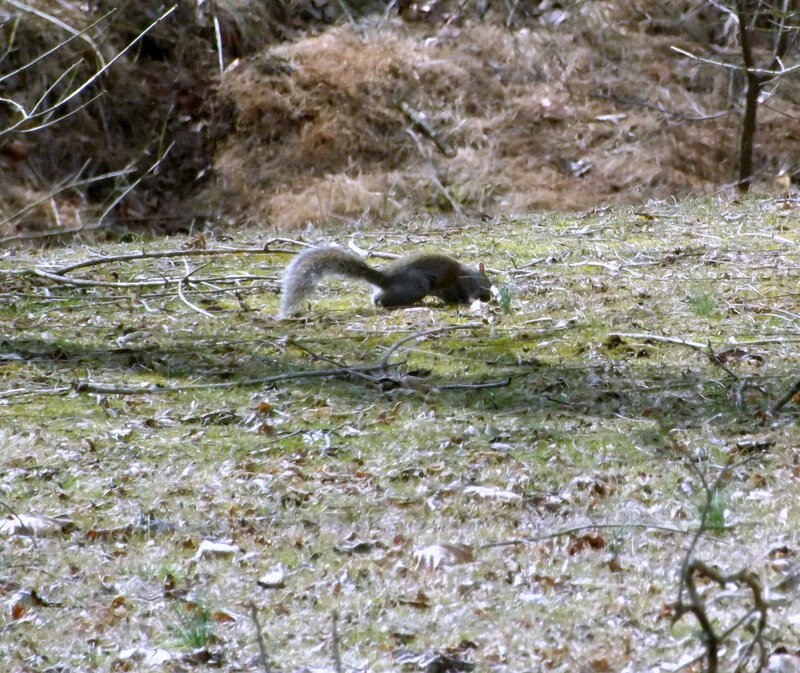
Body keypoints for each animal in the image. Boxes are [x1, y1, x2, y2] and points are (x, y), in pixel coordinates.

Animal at [279, 246, 491, 317]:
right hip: (416, 287)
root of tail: (385, 278)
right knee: (384, 299)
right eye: (488, 283)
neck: (471, 273)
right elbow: (465, 294)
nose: (489, 298)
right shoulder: (466, 284)